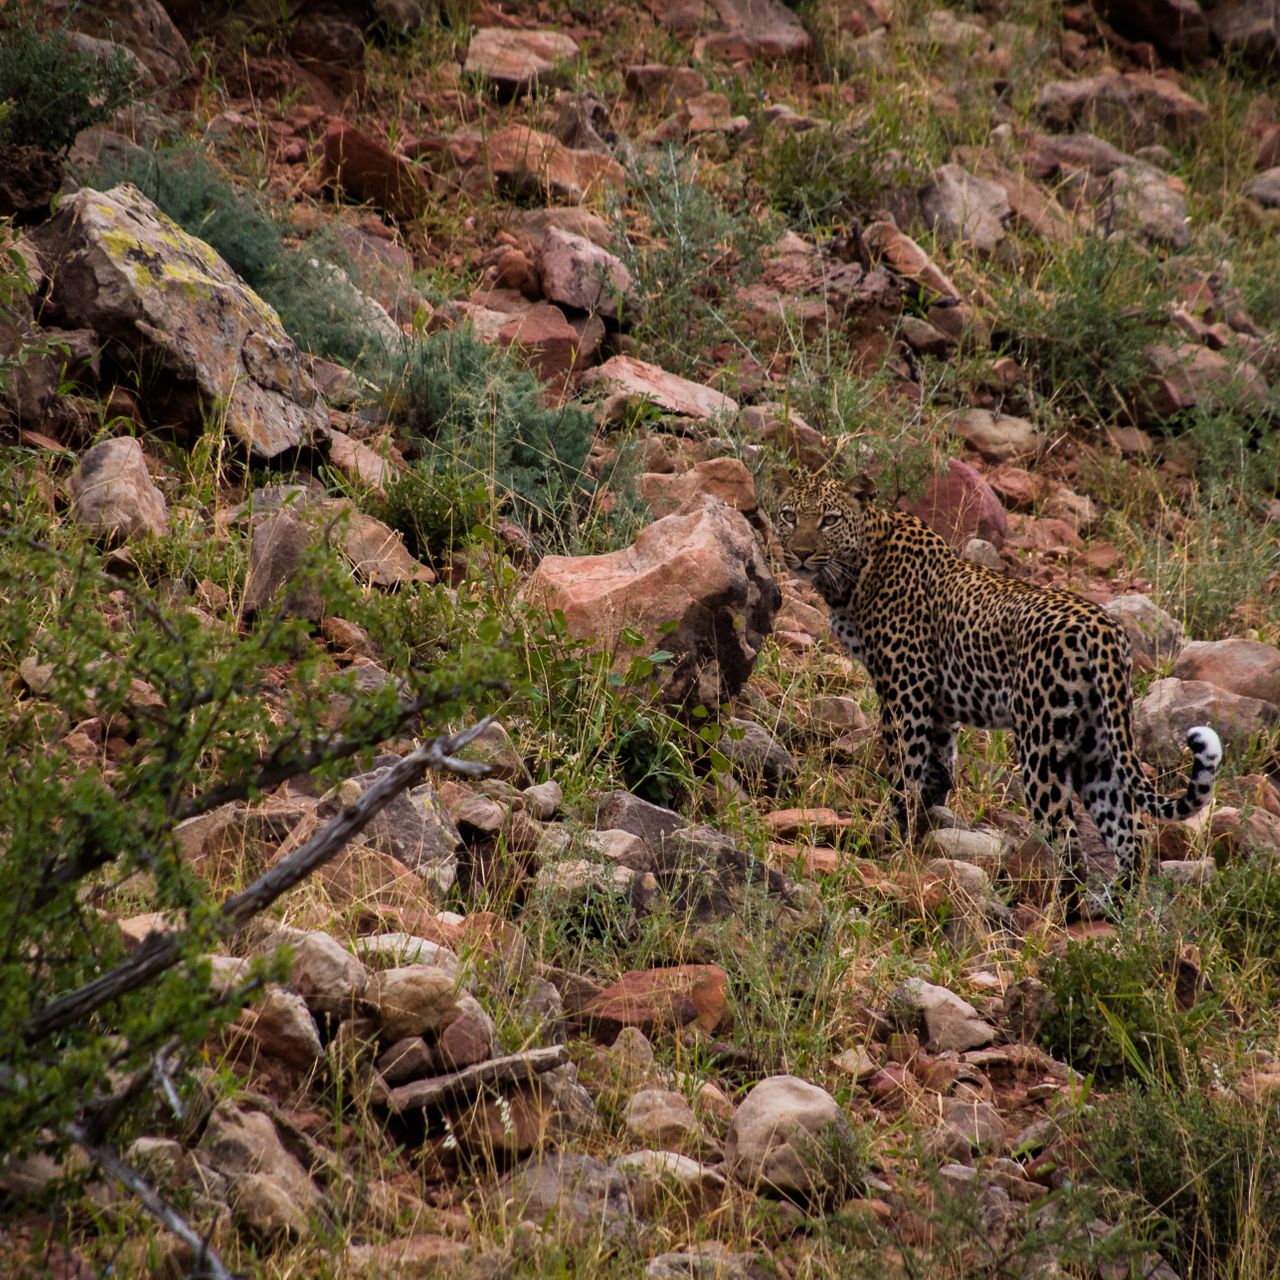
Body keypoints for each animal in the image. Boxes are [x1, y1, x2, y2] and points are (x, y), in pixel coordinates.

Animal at [774, 472, 1222, 908]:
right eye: (789, 515)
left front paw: (889, 836)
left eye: (829, 520)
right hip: (1098, 746)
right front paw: (926, 830)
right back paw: (1113, 909)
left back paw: (1061, 912)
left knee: (1066, 834)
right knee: (1132, 834)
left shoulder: (907, 688)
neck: (855, 572)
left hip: (1041, 743)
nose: (800, 553)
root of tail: (1104, 629)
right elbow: (938, 768)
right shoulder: (939, 704)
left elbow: (905, 770)